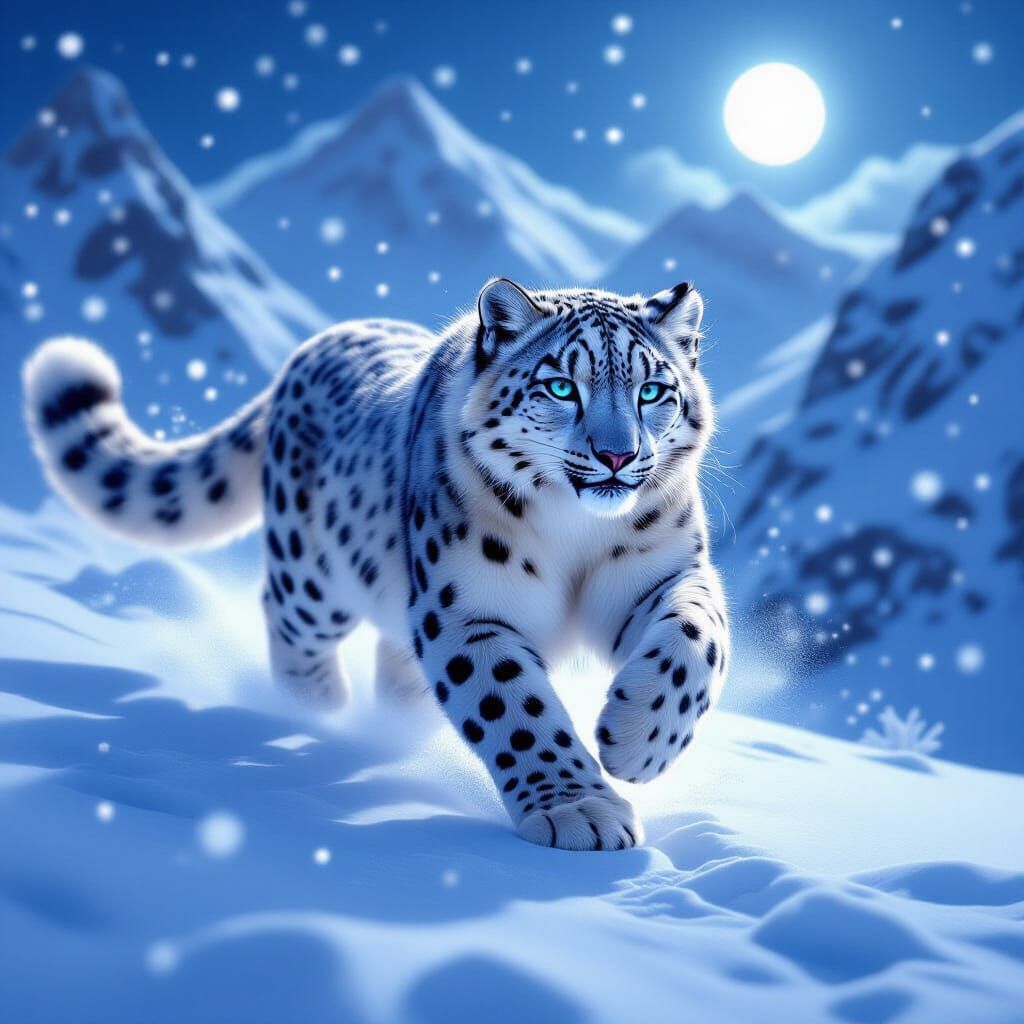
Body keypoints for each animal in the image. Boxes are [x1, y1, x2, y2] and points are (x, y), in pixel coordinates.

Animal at [23, 278, 729, 851]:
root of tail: (317, 343)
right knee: (286, 618)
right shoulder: (466, 609)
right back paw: (318, 712)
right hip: (316, 577)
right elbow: (515, 709)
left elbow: (697, 638)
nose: (617, 456)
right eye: (561, 386)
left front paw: (637, 743)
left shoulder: (664, 574)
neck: (575, 534)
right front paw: (579, 810)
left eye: (652, 390)